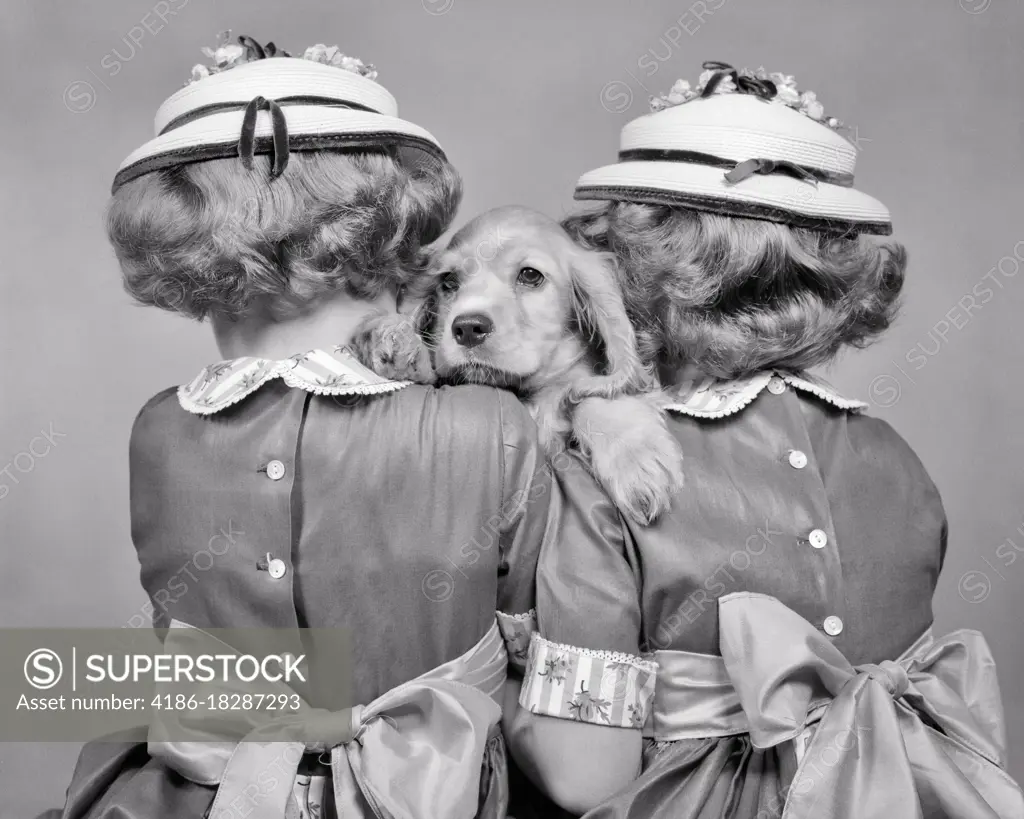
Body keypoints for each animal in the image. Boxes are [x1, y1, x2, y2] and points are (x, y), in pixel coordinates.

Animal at [356, 206, 684, 524]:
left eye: (530, 275)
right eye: (448, 281)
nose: (467, 328)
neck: (525, 392)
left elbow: (594, 393)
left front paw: (637, 460)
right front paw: (394, 339)